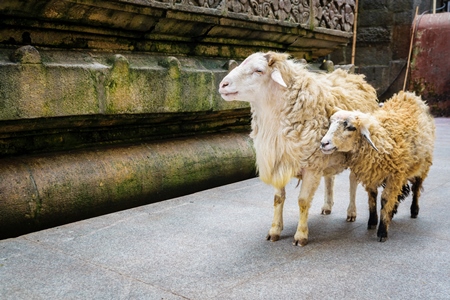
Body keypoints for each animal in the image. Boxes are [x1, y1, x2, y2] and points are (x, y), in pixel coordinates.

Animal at [218, 51, 380, 246]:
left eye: (258, 70)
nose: (223, 85)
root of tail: (356, 77)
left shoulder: (311, 167)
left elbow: (303, 201)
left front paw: (301, 236)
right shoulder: (280, 162)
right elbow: (278, 199)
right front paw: (274, 231)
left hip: (356, 155)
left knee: (352, 182)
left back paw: (351, 212)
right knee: (330, 178)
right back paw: (327, 206)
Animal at [320, 91, 436, 241]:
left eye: (351, 127)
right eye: (330, 124)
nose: (324, 143)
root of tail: (410, 94)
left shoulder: (394, 175)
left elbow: (385, 199)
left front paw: (382, 230)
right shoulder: (372, 173)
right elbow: (373, 196)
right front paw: (373, 221)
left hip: (423, 164)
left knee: (416, 187)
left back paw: (414, 210)